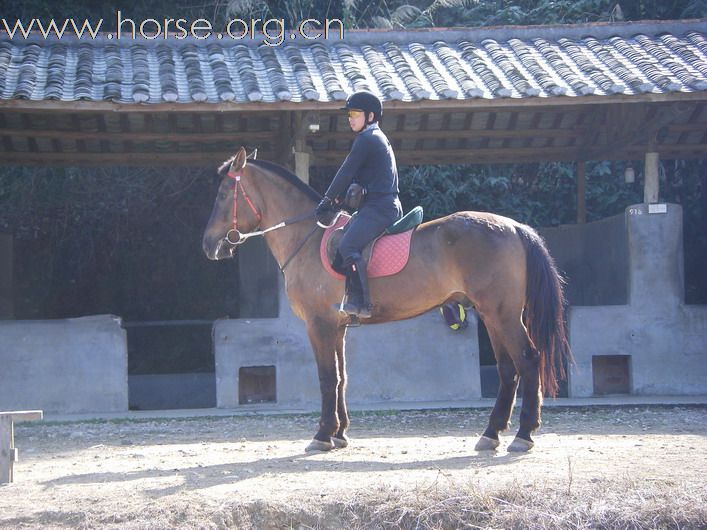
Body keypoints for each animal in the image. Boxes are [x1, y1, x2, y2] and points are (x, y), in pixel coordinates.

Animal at [202, 146, 572, 452]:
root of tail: (514, 227)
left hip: (502, 314)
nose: (208, 245)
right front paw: (339, 434)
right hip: (494, 315)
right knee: (509, 368)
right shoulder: (337, 327)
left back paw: (523, 435)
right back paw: (491, 434)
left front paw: (322, 435)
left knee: (528, 360)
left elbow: (327, 377)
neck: (306, 238)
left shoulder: (319, 324)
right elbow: (342, 377)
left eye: (224, 194)